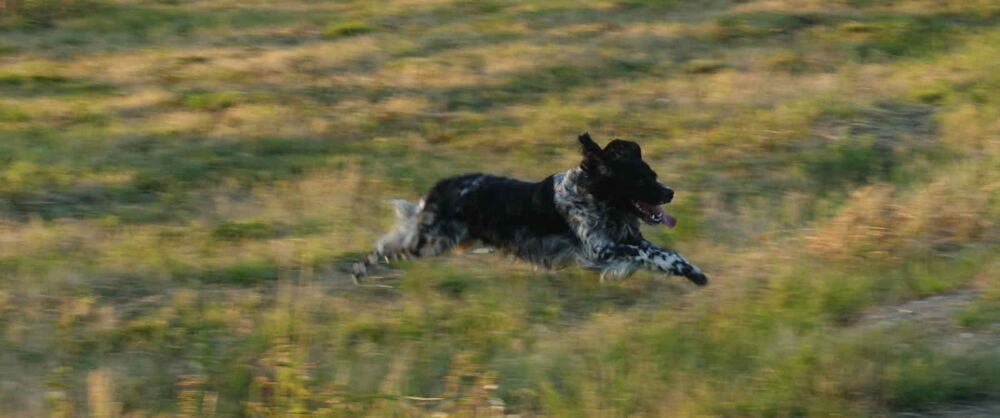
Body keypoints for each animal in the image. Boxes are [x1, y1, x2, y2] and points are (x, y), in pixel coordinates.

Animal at [350, 132, 704, 286]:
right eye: (643, 179)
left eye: (654, 175)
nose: (670, 192)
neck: (593, 195)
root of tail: (439, 188)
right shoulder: (600, 247)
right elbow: (646, 254)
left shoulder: (626, 239)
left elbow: (663, 253)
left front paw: (691, 271)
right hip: (429, 242)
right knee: (384, 246)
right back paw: (359, 271)